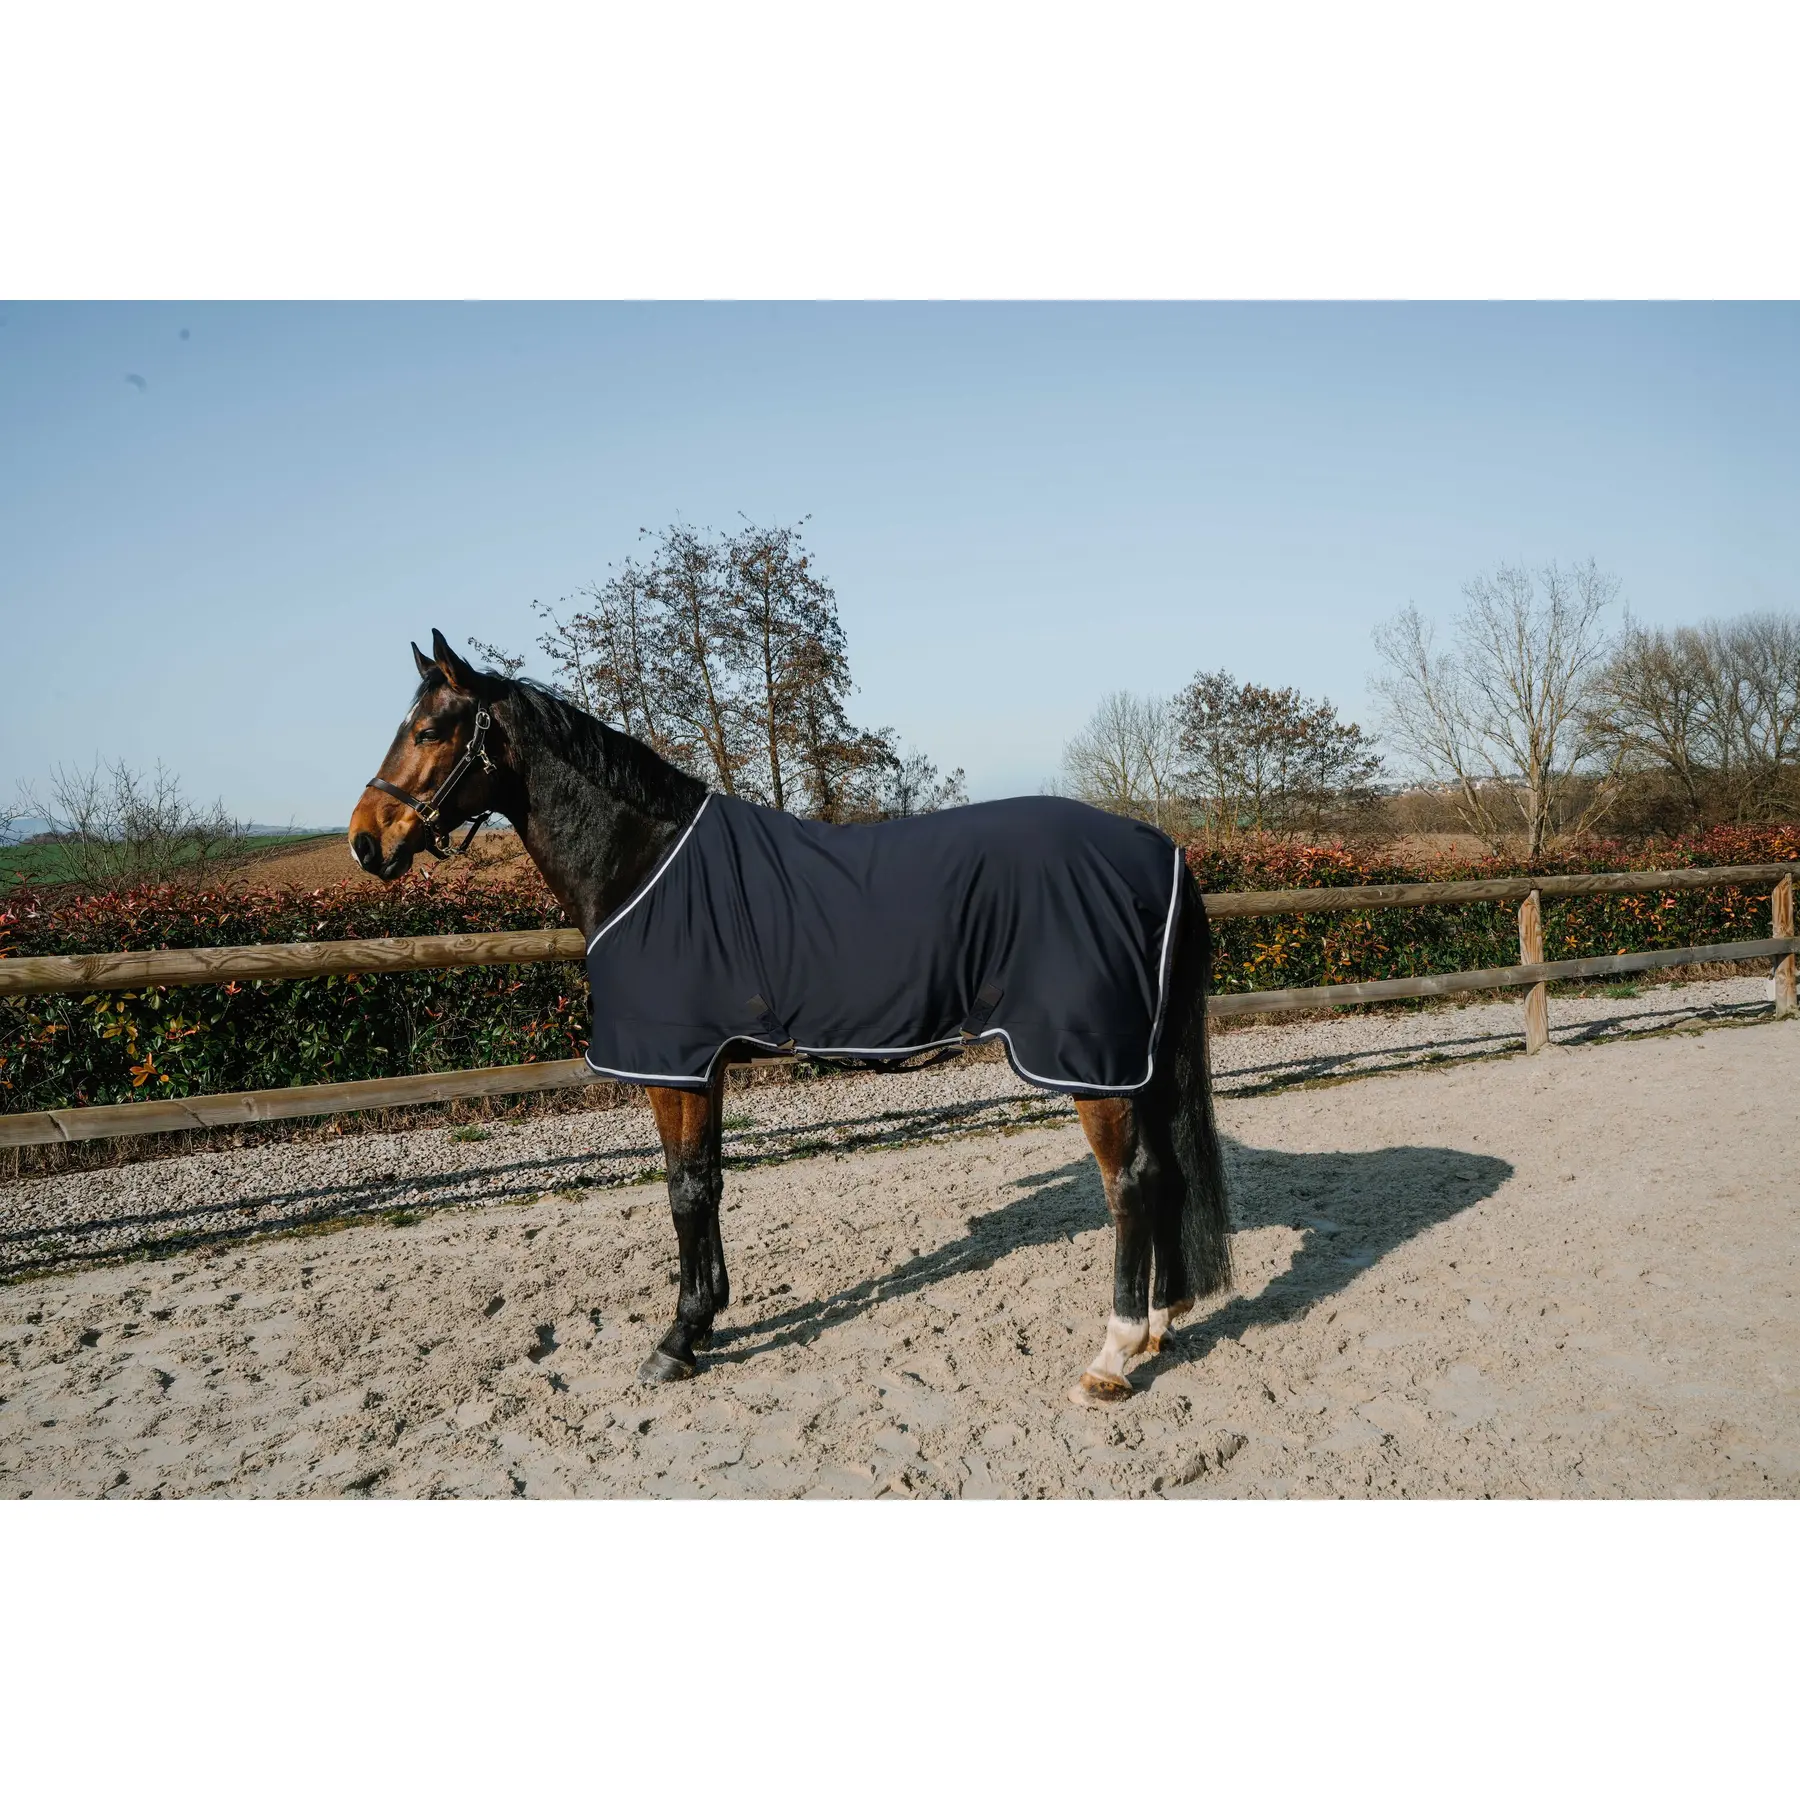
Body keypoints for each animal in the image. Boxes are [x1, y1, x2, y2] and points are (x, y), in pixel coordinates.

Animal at [348, 631, 1232, 1403]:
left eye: (429, 731)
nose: (364, 842)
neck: (644, 863)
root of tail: (1157, 847)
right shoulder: (703, 1067)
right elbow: (709, 1184)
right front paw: (706, 1319)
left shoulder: (673, 1066)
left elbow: (685, 1190)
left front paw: (677, 1340)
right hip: (1135, 1062)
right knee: (1166, 1173)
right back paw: (1161, 1322)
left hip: (1092, 1064)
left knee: (1130, 1184)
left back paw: (1112, 1356)